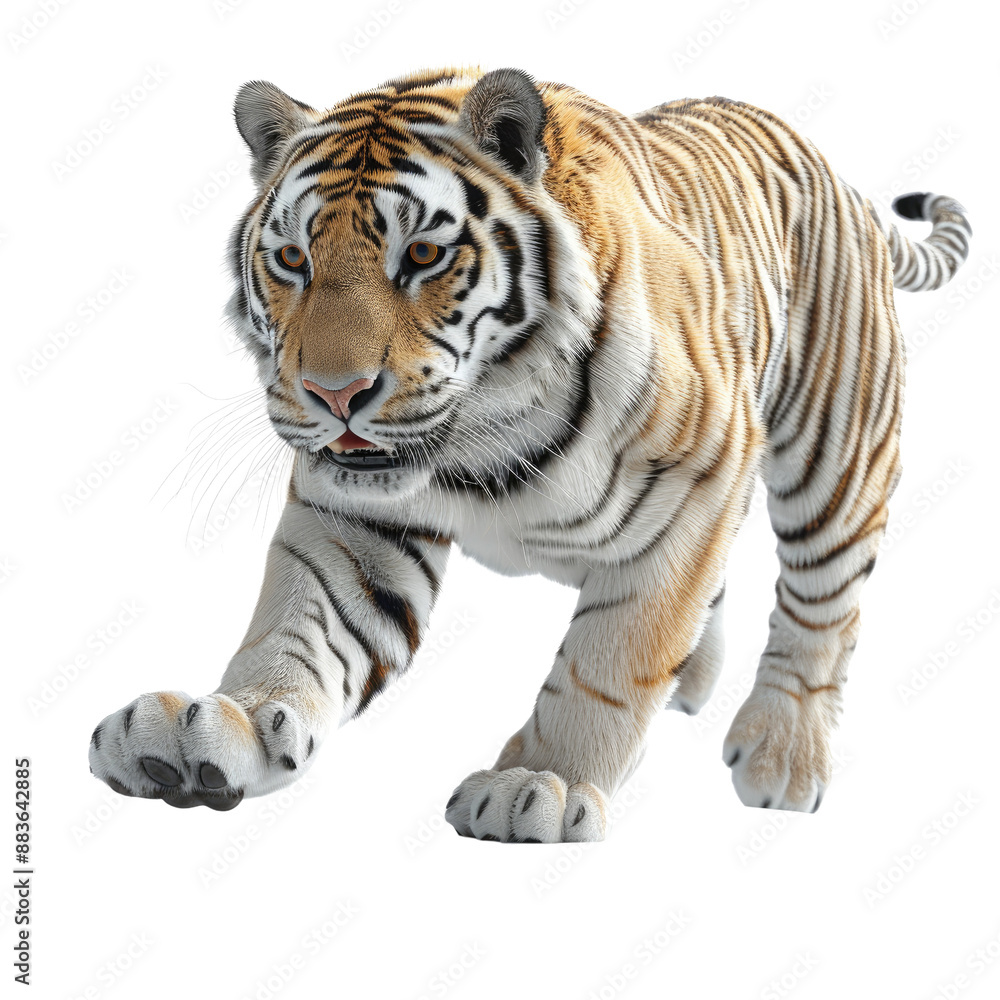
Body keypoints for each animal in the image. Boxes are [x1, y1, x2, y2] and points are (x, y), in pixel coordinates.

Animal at [88, 66, 971, 842]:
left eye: (422, 257)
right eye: (293, 261)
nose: (334, 395)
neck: (487, 430)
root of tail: (839, 175)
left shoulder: (696, 484)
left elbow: (608, 663)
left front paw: (543, 781)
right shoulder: (354, 520)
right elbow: (300, 626)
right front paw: (209, 731)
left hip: (836, 456)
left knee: (823, 603)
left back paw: (782, 758)